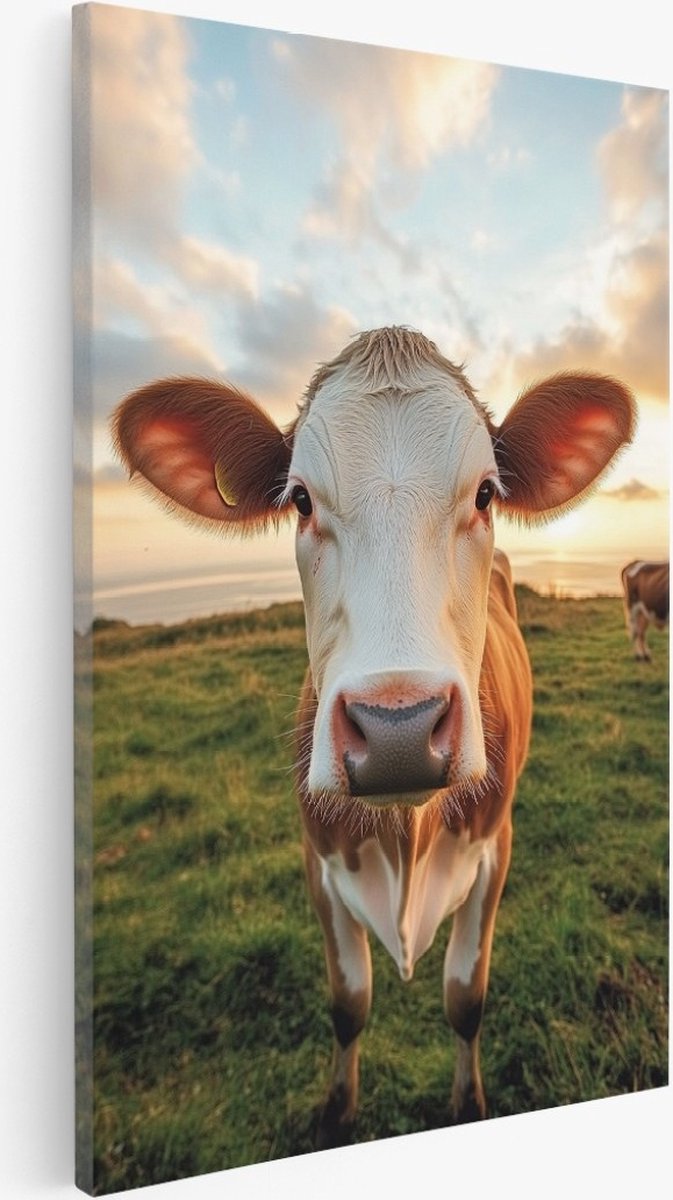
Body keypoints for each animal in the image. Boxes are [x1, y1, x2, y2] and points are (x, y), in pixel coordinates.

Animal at [113, 326, 635, 1145]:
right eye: (299, 500)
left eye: (485, 494)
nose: (398, 729)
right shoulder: (318, 861)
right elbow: (348, 1004)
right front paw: (337, 1112)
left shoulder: (496, 848)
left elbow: (465, 997)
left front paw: (466, 1104)